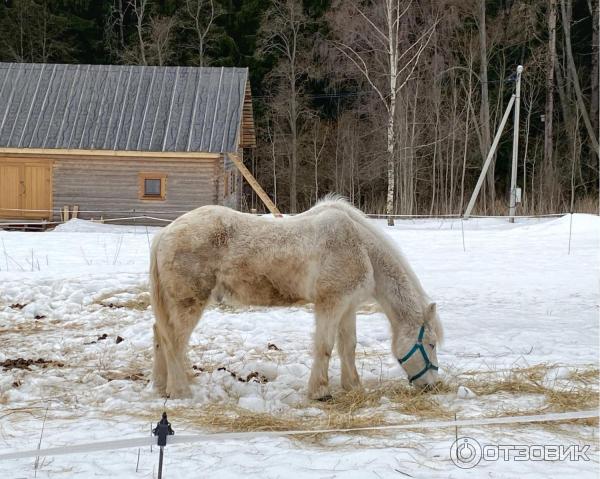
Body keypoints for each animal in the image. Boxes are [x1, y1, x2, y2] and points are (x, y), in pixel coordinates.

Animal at [149, 197, 440, 400]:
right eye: (431, 343)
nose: (432, 386)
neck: (359, 246)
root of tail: (165, 232)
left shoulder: (347, 306)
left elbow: (348, 347)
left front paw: (353, 387)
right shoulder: (330, 304)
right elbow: (325, 346)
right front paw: (320, 392)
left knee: (160, 334)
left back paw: (162, 386)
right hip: (188, 303)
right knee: (174, 341)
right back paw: (180, 391)